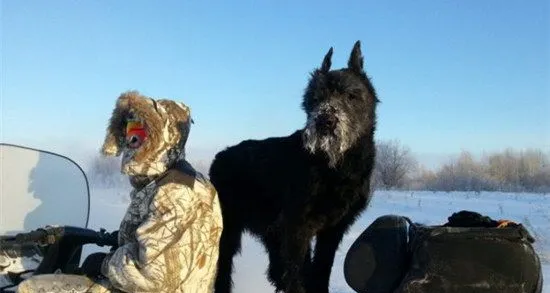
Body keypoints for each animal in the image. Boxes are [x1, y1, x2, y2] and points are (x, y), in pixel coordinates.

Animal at [210, 41, 380, 292]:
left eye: (351, 95)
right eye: (314, 98)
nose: (325, 121)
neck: (336, 167)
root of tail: (218, 157)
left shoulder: (333, 229)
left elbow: (321, 267)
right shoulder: (297, 226)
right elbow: (298, 269)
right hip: (230, 227)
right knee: (224, 263)